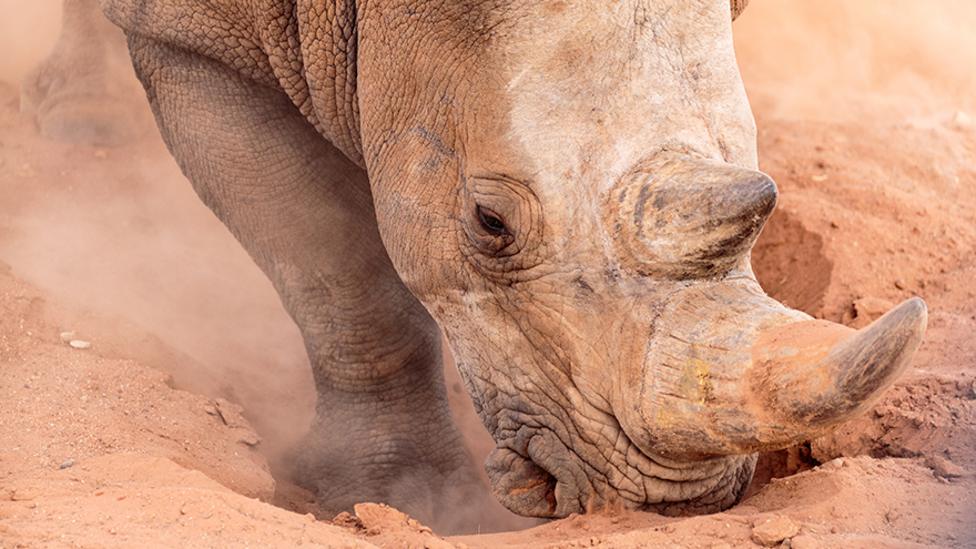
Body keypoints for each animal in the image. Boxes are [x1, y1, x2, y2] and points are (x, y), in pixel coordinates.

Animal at [38, 0, 927, 528]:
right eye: (489, 222)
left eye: (762, 191)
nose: (669, 504)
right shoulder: (196, 43)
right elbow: (339, 269)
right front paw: (404, 498)